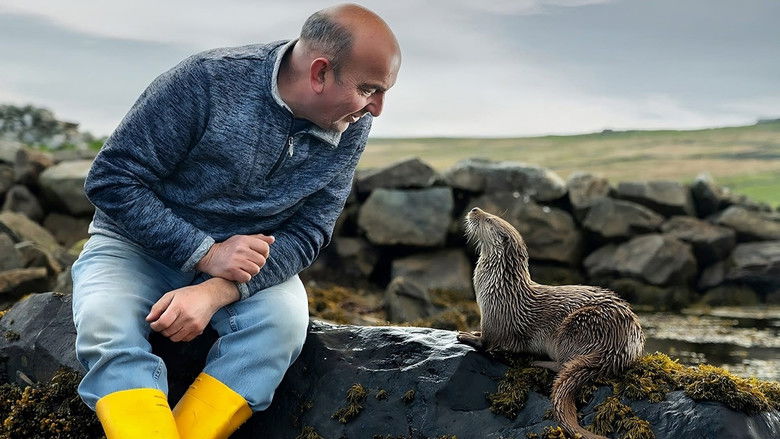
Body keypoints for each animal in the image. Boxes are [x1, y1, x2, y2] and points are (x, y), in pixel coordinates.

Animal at [458, 207, 645, 439]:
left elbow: (487, 342)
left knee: (563, 363)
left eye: (490, 219)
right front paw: (472, 332)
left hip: (577, 327)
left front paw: (467, 336)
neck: (499, 287)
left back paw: (538, 362)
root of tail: (621, 346)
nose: (475, 210)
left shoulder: (496, 317)